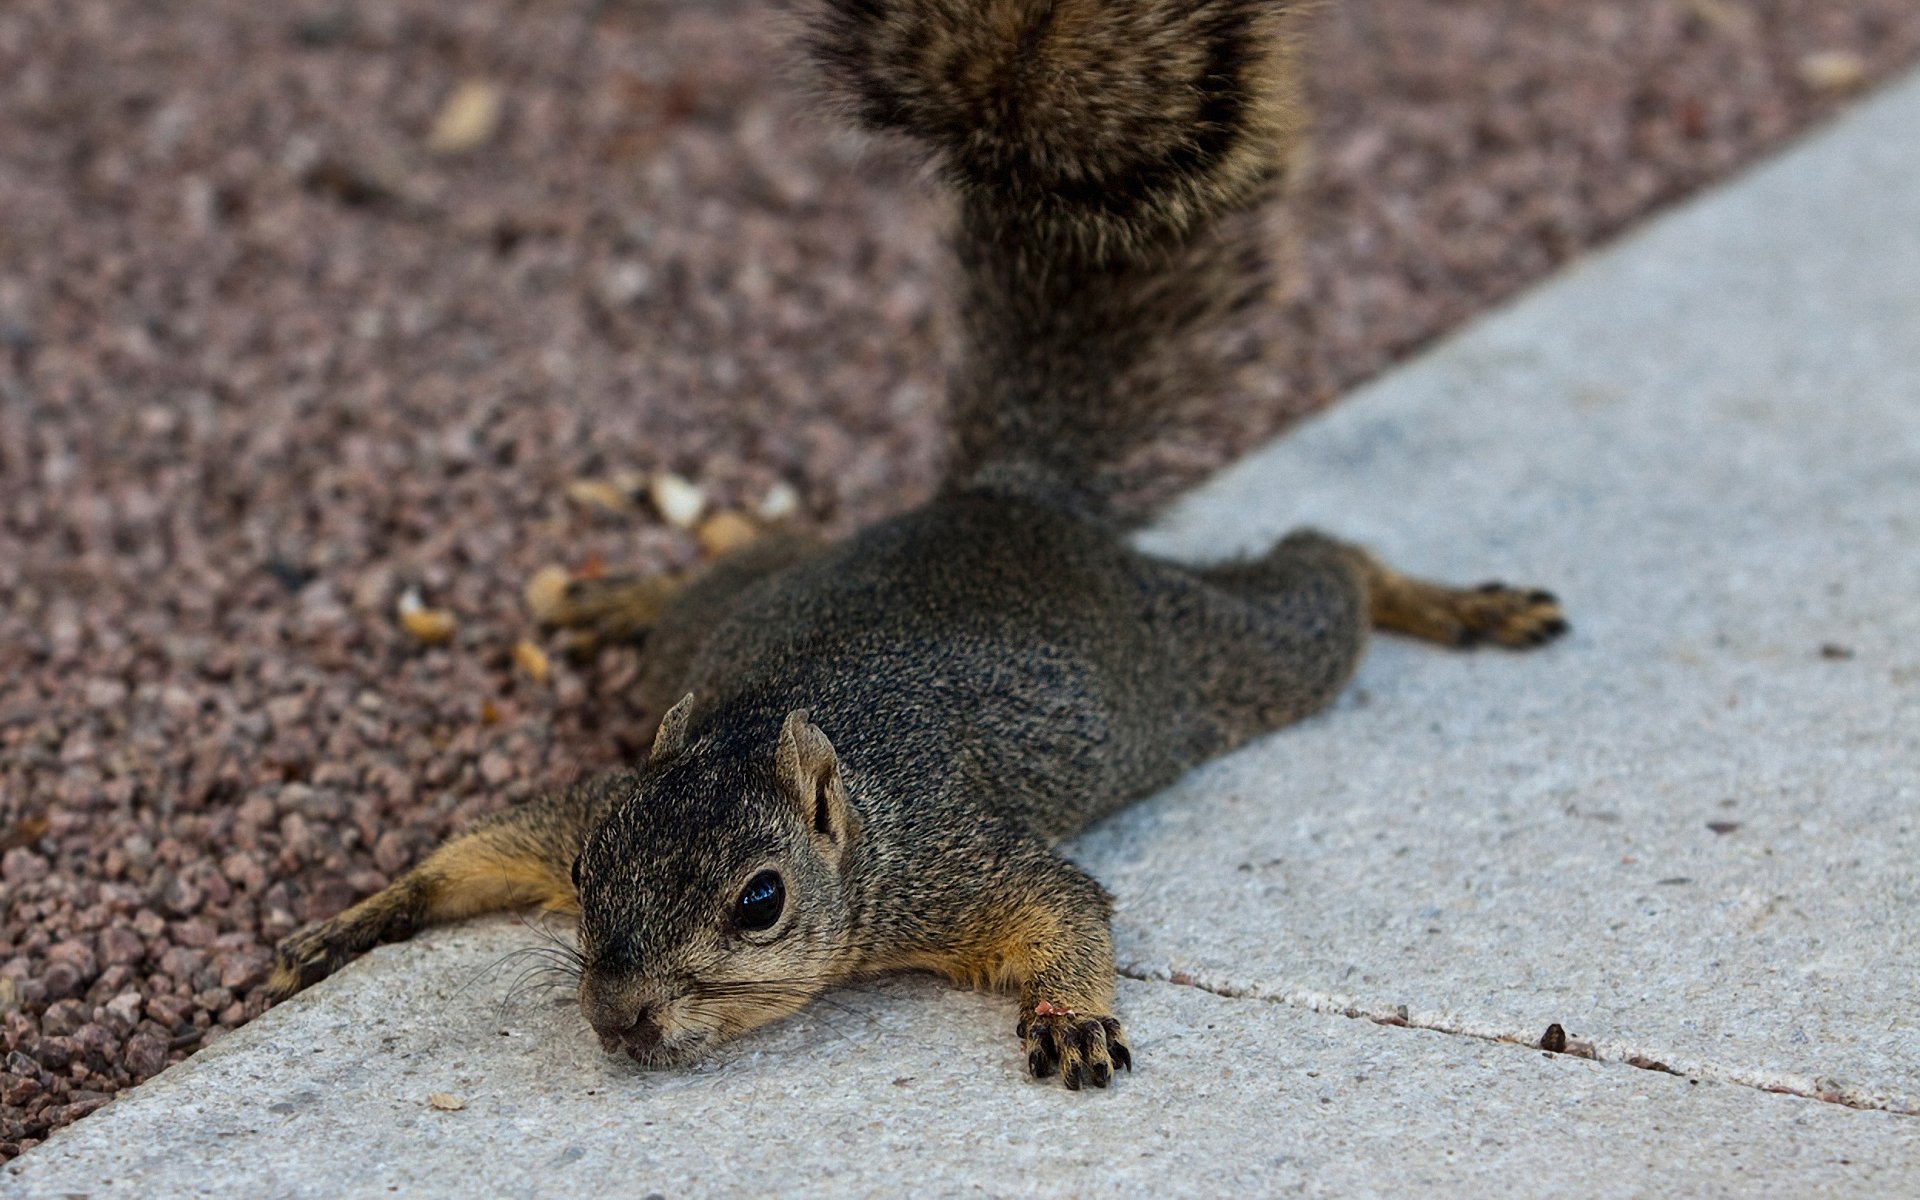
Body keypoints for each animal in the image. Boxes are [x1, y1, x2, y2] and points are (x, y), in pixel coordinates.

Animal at [263, 0, 1566, 1090]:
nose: (619, 1021)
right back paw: (619, 598)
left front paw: (1074, 1014)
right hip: (728, 614)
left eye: (761, 901)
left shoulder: (955, 864)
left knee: (1323, 574)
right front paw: (350, 923)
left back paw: (1456, 603)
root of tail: (1002, 500)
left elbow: (1065, 904)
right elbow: (483, 847)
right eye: (588, 875)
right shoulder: (592, 800)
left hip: (1223, 658)